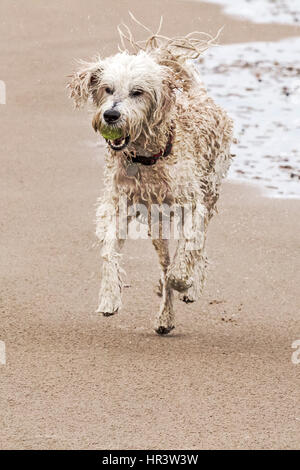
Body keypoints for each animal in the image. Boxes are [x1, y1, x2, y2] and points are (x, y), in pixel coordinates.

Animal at [68, 18, 234, 334]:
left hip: (211, 190)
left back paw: (189, 286)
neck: (146, 158)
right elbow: (109, 251)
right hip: (156, 225)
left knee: (199, 244)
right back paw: (165, 316)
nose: (110, 116)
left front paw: (184, 279)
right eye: (107, 89)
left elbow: (190, 247)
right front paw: (109, 296)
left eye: (137, 92)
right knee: (165, 260)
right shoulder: (117, 205)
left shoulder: (192, 204)